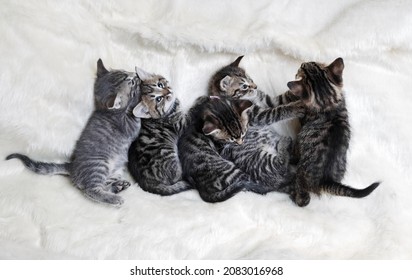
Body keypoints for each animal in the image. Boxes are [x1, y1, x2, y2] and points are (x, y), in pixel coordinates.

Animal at [5, 59, 145, 207]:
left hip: (116, 171)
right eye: (129, 81)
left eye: (124, 71)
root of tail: (72, 166)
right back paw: (114, 198)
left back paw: (118, 186)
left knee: (104, 184)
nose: (134, 74)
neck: (106, 111)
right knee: (90, 190)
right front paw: (138, 93)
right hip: (99, 165)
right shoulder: (128, 125)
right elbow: (134, 115)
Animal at [127, 67, 192, 196]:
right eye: (159, 99)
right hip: (169, 156)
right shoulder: (180, 123)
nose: (168, 92)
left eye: (160, 84)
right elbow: (193, 113)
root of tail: (145, 183)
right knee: (177, 176)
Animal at [280, 57, 380, 206]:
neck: (328, 102)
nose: (303, 63)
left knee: (303, 198)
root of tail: (326, 180)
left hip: (301, 173)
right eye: (313, 63)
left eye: (302, 69)